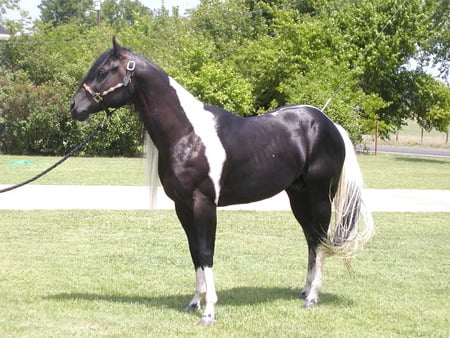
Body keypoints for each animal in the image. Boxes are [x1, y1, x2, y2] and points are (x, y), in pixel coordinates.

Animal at [69, 37, 372, 324]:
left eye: (103, 71)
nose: (75, 106)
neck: (187, 134)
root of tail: (329, 124)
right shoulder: (182, 206)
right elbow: (194, 251)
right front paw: (195, 301)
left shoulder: (204, 204)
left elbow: (206, 252)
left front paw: (209, 311)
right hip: (298, 196)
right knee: (310, 238)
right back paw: (305, 289)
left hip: (320, 196)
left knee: (320, 239)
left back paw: (312, 297)